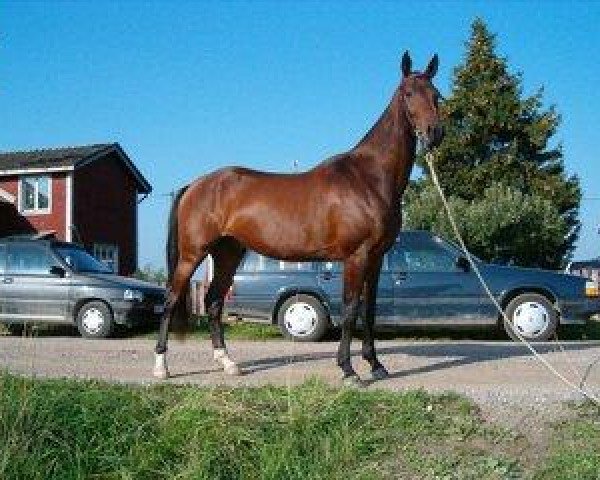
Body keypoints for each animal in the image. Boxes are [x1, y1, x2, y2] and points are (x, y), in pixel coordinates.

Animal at [155, 50, 442, 386]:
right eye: (408, 93)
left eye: (436, 95)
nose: (434, 133)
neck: (369, 178)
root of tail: (195, 185)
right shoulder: (357, 257)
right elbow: (350, 309)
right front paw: (348, 370)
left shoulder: (376, 258)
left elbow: (369, 311)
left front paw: (375, 365)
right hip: (193, 254)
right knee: (171, 299)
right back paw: (161, 367)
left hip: (228, 253)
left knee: (213, 302)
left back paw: (228, 363)